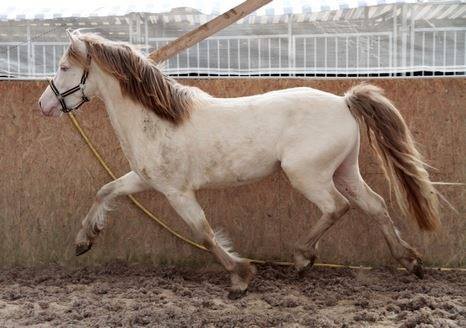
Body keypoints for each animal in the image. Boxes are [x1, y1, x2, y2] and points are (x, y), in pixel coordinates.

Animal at [38, 31, 438, 300]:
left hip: (307, 174)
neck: (159, 119)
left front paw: (241, 277)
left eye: (63, 67)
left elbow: (203, 232)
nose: (44, 105)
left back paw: (302, 259)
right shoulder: (144, 179)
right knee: (376, 205)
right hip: (345, 170)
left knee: (337, 207)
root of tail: (344, 102)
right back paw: (411, 262)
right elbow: (105, 190)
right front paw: (84, 241)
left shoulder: (177, 192)